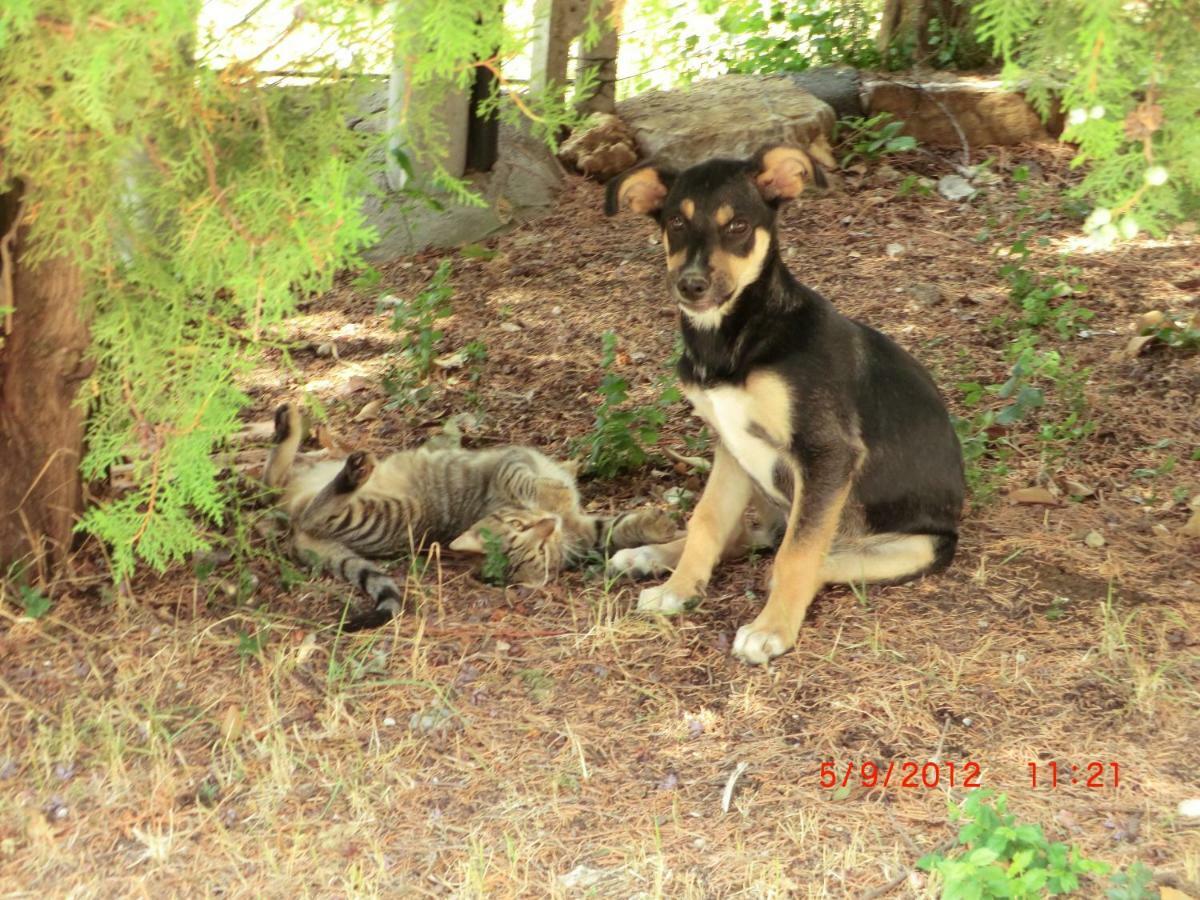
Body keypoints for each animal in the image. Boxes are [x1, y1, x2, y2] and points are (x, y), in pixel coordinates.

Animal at [261, 405, 676, 628]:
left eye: (538, 548)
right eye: (519, 528)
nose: (548, 526)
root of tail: (293, 532)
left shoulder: (582, 529)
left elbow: (619, 527)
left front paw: (657, 525)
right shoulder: (510, 466)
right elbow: (535, 481)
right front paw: (557, 487)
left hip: (309, 473)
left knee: (272, 484)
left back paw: (289, 427)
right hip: (385, 512)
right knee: (308, 508)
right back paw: (346, 468)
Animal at [604, 144, 960, 667]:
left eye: (737, 226)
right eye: (676, 223)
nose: (691, 285)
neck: (738, 339)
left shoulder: (827, 453)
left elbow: (798, 552)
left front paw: (772, 629)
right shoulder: (730, 446)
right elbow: (707, 521)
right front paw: (679, 588)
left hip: (917, 546)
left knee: (801, 555)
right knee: (751, 535)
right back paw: (650, 556)